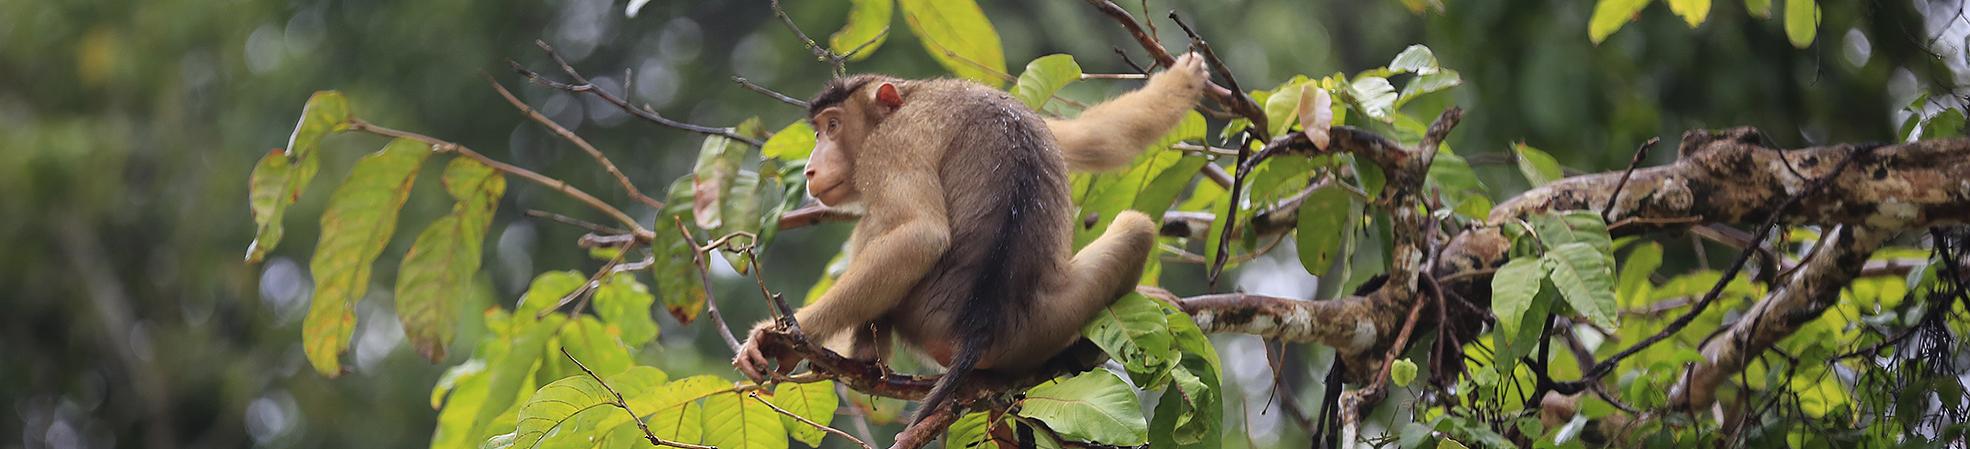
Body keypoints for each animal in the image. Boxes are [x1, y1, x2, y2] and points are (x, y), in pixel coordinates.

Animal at [732, 52, 1205, 425]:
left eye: (831, 126)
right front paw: (1184, 80)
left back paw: (865, 355)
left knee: (879, 225)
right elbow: (1096, 140)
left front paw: (780, 337)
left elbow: (920, 236)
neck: (911, 99)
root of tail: (979, 330)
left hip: (924, 318)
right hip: (1040, 327)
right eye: (818, 130)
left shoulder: (890, 145)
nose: (811, 169)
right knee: (1136, 228)